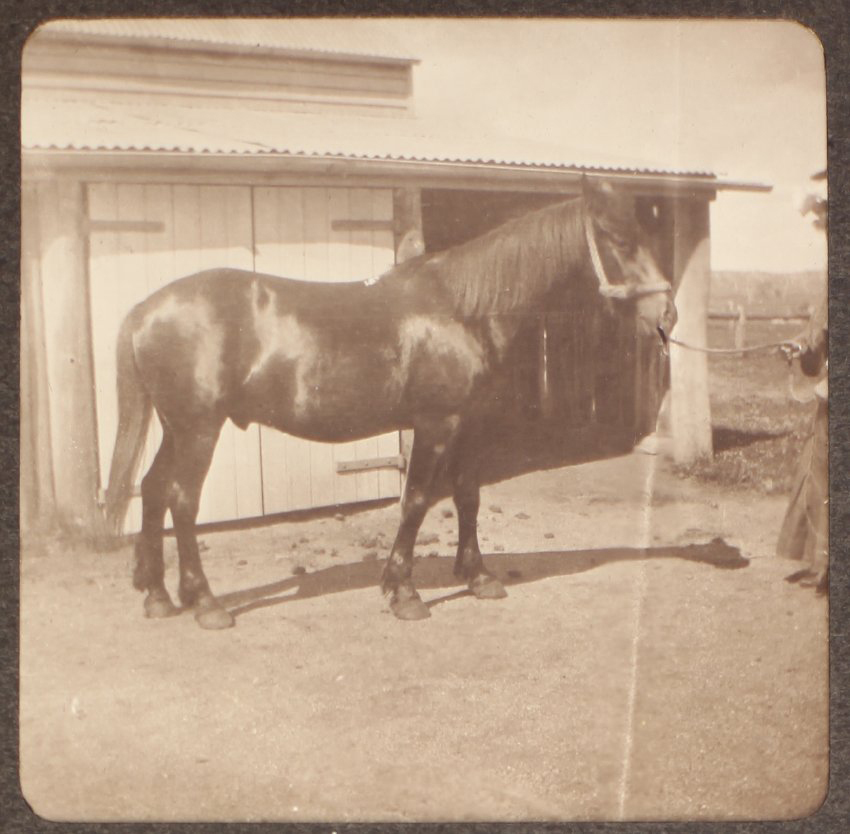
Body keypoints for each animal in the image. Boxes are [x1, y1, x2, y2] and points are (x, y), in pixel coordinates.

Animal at [104, 176, 676, 629]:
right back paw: (205, 603)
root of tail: (146, 308)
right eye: (618, 240)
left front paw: (478, 576)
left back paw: (158, 596)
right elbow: (417, 500)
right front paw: (403, 592)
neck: (462, 309)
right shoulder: (435, 423)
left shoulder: (469, 424)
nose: (666, 312)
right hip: (199, 428)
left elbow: (468, 495)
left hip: (177, 428)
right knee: (182, 501)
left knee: (152, 490)